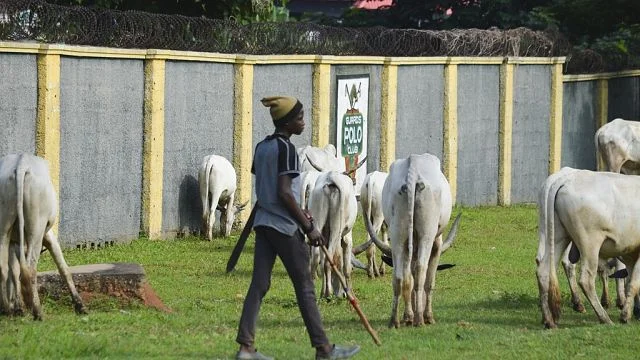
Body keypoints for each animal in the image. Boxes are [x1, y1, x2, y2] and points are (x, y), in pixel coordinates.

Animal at [0, 153, 86, 320]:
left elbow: (14, 271)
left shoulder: (14, 242)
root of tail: (21, 162)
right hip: (37, 228)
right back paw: (38, 312)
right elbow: (64, 268)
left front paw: (18, 307)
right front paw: (80, 305)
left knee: (4, 268)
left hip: (4, 227)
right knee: (30, 269)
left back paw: (7, 309)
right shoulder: (49, 235)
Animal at [364, 153, 460, 328]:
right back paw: (420, 319)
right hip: (427, 234)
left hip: (397, 233)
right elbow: (428, 281)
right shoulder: (437, 243)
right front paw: (426, 315)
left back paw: (395, 320)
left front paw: (408, 315)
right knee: (421, 270)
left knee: (399, 277)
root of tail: (413, 164)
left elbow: (408, 276)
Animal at [536, 167, 640, 328]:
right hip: (589, 242)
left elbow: (630, 280)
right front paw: (625, 315)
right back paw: (604, 318)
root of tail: (567, 177)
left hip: (557, 236)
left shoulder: (630, 252)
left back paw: (549, 320)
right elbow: (634, 282)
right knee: (586, 279)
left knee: (543, 271)